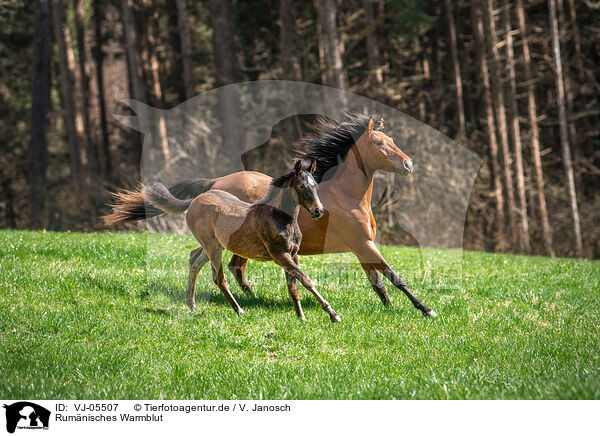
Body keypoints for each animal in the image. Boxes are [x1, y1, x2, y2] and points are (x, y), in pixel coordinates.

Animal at [104, 112, 436, 316]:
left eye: (392, 141)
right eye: (379, 143)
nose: (408, 164)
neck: (346, 196)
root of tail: (213, 184)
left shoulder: (361, 247)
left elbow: (378, 282)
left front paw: (389, 308)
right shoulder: (363, 244)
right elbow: (394, 276)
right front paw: (425, 309)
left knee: (216, 264)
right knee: (229, 268)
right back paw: (247, 301)